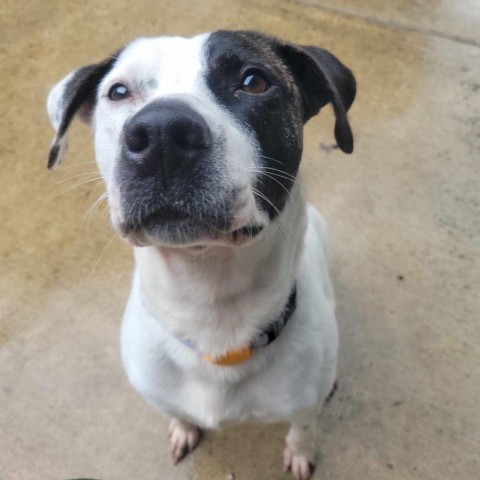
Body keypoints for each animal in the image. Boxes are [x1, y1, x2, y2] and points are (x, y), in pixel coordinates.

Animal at [47, 31, 354, 480]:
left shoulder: (303, 405)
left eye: (254, 81)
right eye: (118, 91)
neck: (212, 311)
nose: (160, 134)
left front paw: (300, 453)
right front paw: (183, 428)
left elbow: (302, 428)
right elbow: (176, 411)